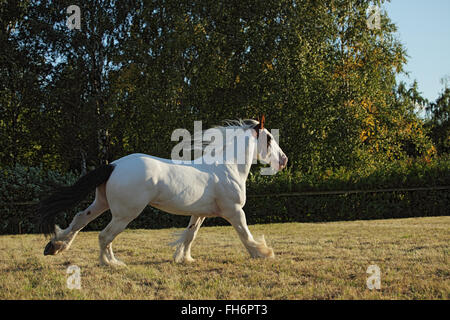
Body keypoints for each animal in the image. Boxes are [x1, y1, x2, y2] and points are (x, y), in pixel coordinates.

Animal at [40, 119, 290, 266]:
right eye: (269, 138)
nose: (284, 160)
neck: (227, 168)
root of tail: (114, 165)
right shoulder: (234, 211)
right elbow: (245, 234)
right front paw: (263, 253)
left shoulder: (199, 214)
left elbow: (190, 235)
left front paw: (184, 258)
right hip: (125, 214)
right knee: (105, 235)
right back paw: (111, 263)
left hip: (101, 203)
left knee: (79, 219)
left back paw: (55, 246)